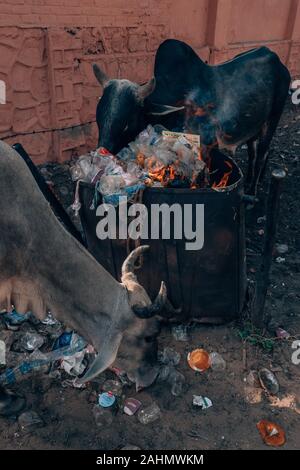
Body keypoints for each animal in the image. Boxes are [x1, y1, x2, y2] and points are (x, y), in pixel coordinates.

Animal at [92, 39, 290, 195]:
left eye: (126, 124)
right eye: (98, 119)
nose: (99, 158)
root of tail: (277, 60)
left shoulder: (206, 144)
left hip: (272, 120)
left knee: (262, 153)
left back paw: (252, 192)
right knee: (254, 152)